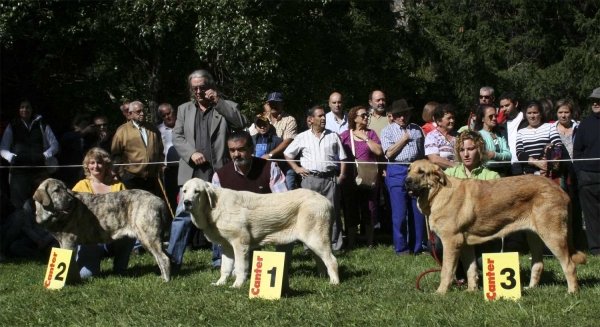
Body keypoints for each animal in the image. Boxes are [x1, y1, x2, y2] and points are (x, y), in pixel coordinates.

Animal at [180, 178, 340, 288]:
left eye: (197, 192)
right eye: (184, 191)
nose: (187, 202)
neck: (213, 207)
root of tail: (328, 202)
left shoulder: (240, 242)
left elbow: (240, 267)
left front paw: (237, 285)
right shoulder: (227, 246)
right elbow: (225, 268)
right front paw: (220, 283)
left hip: (316, 238)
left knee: (332, 260)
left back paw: (334, 282)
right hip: (313, 240)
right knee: (321, 260)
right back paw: (322, 278)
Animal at [404, 161, 584, 294]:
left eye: (422, 172)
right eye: (409, 170)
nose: (406, 181)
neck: (437, 193)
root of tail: (560, 190)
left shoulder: (451, 241)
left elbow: (446, 271)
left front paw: (440, 293)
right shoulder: (465, 244)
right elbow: (471, 269)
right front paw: (471, 290)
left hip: (552, 235)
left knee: (569, 265)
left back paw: (572, 292)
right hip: (533, 236)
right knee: (538, 265)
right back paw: (530, 288)